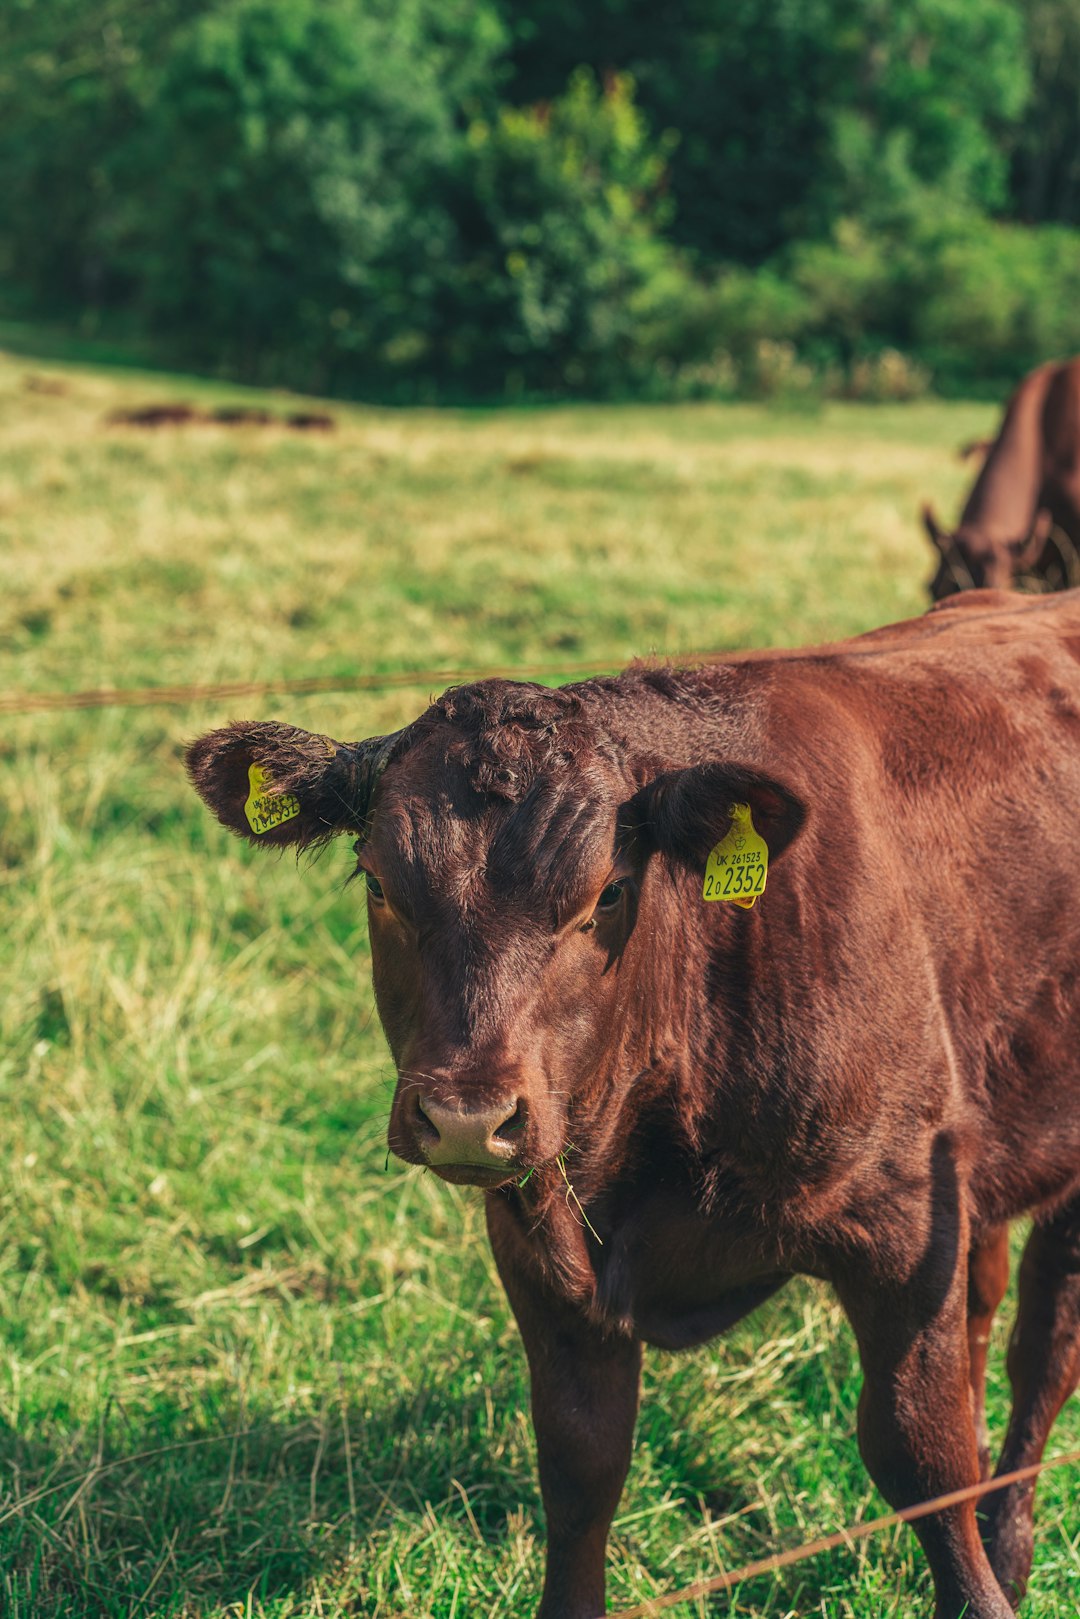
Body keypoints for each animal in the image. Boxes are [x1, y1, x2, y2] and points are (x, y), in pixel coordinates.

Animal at [187, 589, 1080, 1612]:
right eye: (378, 881)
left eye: (606, 894)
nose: (465, 1116)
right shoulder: (542, 1251)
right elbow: (581, 1464)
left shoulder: (896, 1220)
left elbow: (920, 1458)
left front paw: (982, 1577)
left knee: (1045, 1344)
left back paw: (1008, 1543)